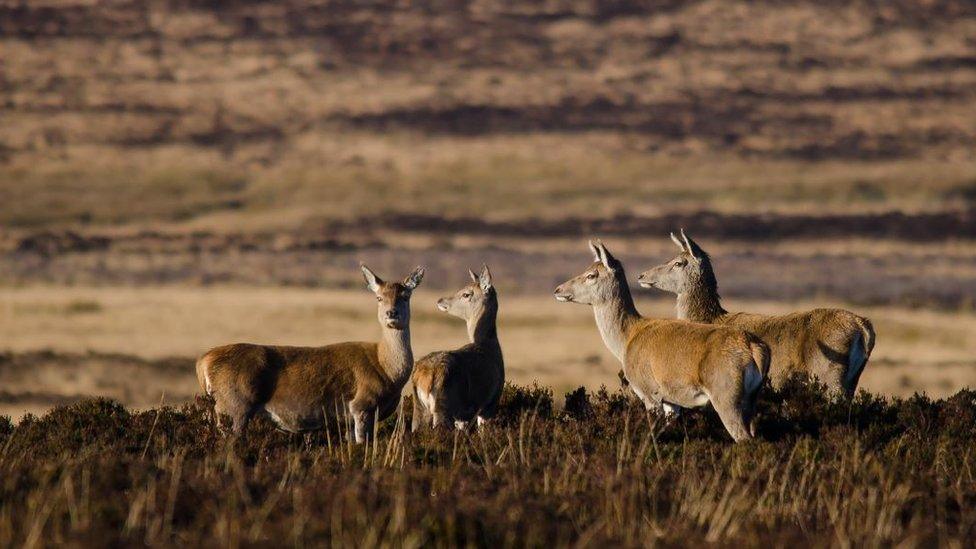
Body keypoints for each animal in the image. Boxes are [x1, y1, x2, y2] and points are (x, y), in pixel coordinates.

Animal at [196, 264, 426, 444]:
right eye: (379, 297)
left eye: (405, 296)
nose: (391, 313)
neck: (387, 371)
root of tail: (203, 362)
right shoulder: (362, 404)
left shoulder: (348, 419)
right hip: (234, 404)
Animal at [410, 266, 504, 432]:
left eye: (466, 293)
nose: (440, 300)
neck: (490, 346)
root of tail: (425, 375)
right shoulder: (491, 403)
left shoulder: (463, 416)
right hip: (444, 404)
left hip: (419, 408)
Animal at [548, 240, 772, 440]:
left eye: (591, 275)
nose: (558, 289)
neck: (627, 339)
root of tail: (753, 349)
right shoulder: (671, 401)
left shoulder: (649, 392)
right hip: (753, 398)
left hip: (726, 395)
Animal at [636, 229, 872, 396]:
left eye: (678, 262)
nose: (641, 275)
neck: (709, 318)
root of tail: (863, 327)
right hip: (853, 378)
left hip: (830, 375)